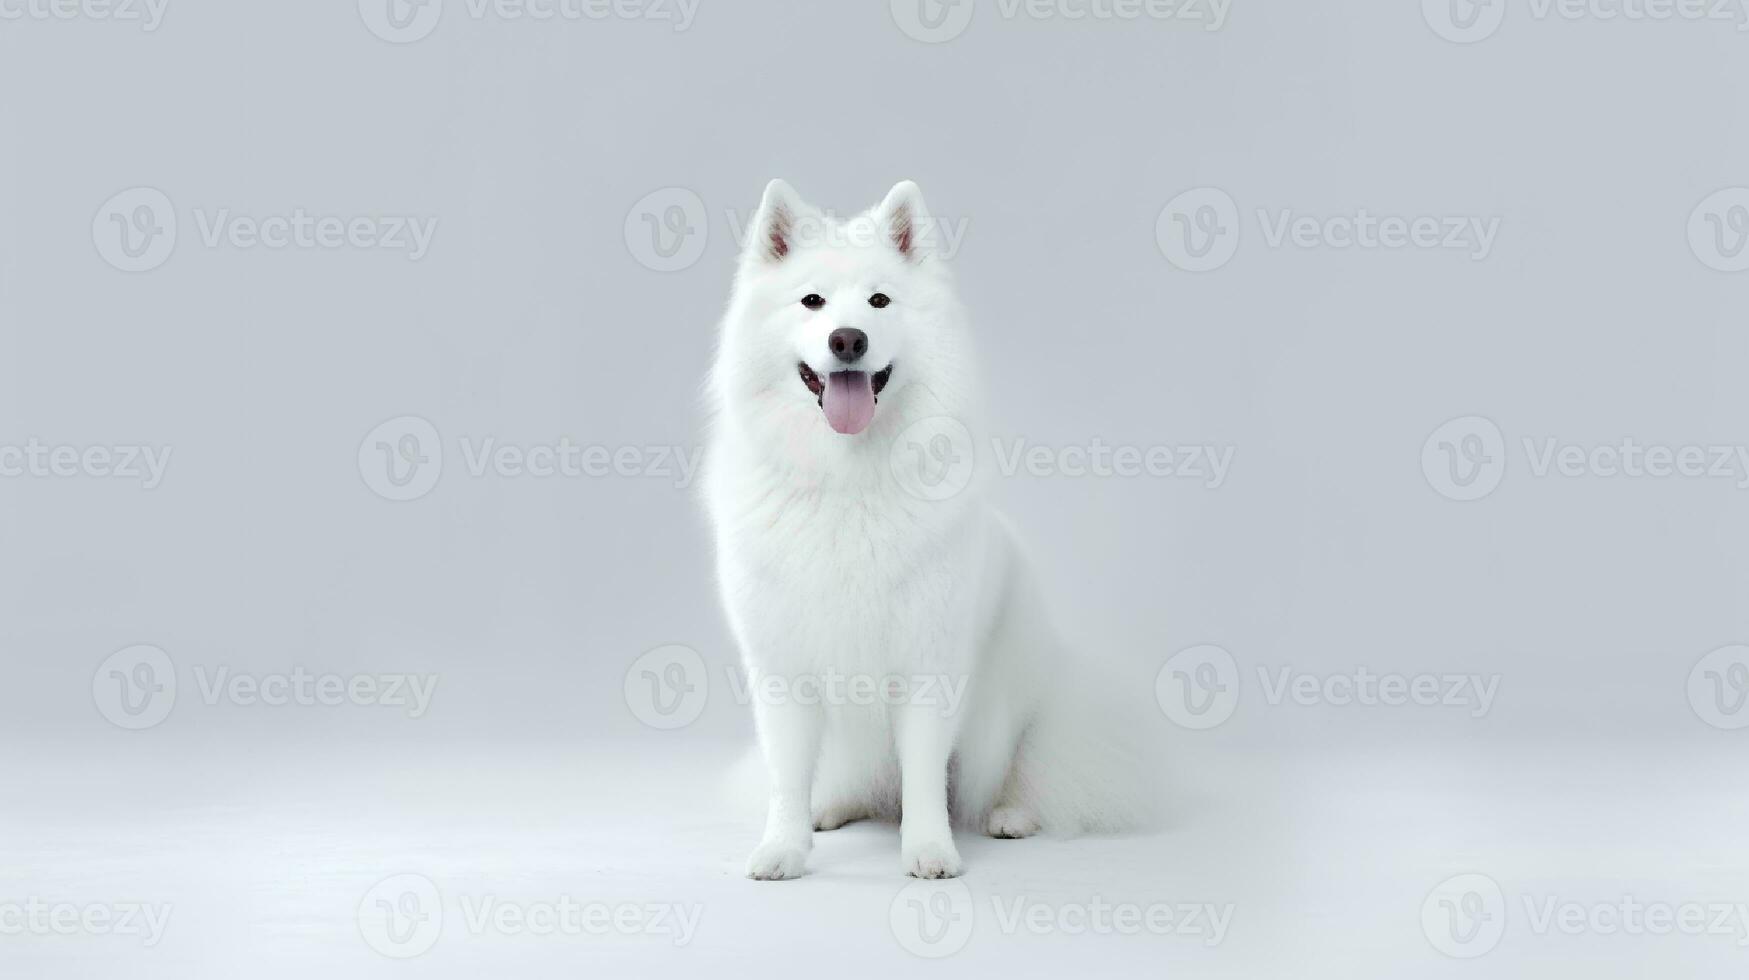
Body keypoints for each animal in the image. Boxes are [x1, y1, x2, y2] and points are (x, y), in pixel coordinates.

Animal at [703, 182, 1154, 882]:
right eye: (812, 301)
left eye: (879, 301)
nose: (848, 340)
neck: (848, 481)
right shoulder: (782, 668)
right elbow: (787, 777)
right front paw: (784, 848)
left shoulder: (927, 665)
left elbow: (923, 776)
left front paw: (929, 851)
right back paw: (831, 808)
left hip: (1008, 709)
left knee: (1017, 770)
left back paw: (1010, 814)